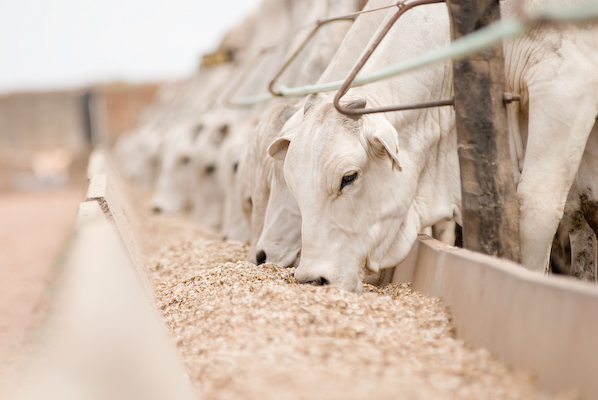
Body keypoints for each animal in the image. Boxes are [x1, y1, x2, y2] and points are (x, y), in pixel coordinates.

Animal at [270, 1, 598, 292]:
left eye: (348, 178)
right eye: (293, 186)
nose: (313, 280)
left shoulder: (566, 82)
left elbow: (537, 206)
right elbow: (584, 207)